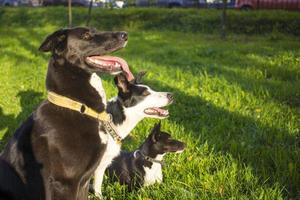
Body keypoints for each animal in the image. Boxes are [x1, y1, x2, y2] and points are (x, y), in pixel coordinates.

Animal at [0, 27, 134, 200]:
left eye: (96, 30)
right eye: (86, 35)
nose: (125, 34)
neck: (76, 106)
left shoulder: (84, 182)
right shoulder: (66, 183)